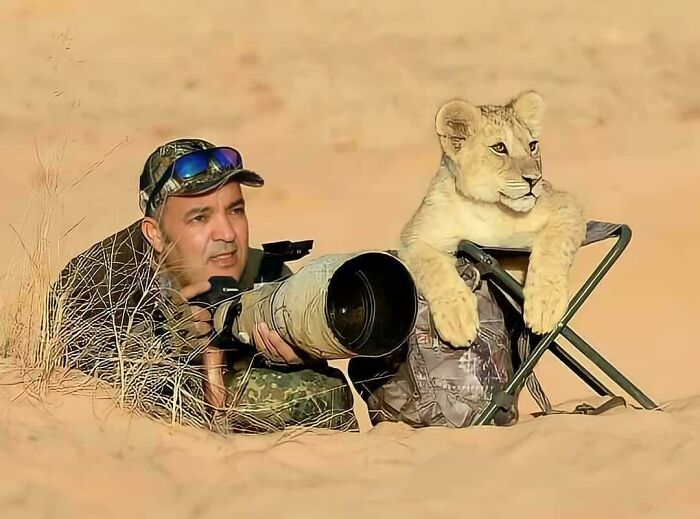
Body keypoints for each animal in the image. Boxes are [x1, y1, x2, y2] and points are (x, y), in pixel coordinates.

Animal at [399, 91, 587, 347]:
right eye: (499, 147)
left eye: (533, 146)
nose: (535, 179)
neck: (490, 207)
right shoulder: (413, 237)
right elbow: (433, 269)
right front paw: (457, 319)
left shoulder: (566, 206)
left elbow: (553, 250)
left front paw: (545, 305)